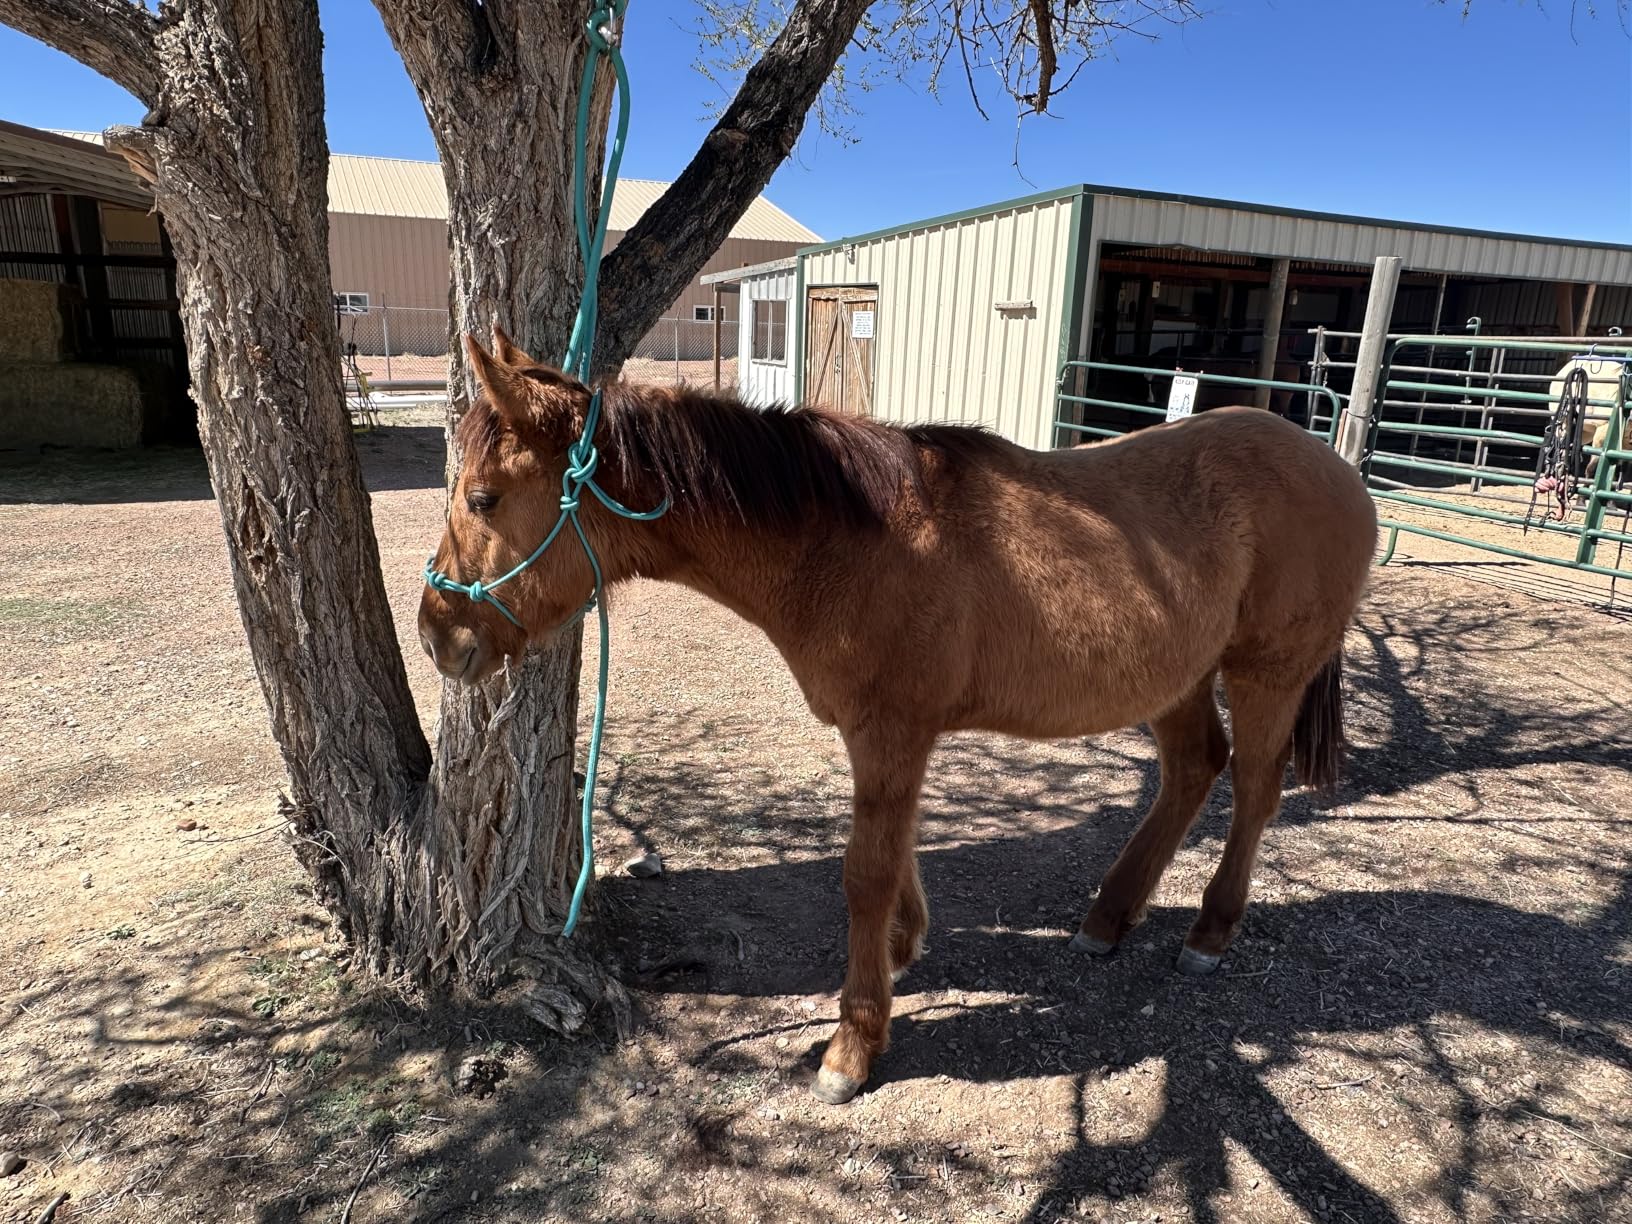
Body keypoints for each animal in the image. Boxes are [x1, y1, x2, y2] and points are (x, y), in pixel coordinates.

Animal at [419, 326, 1379, 1105]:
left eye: (483, 498)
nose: (437, 635)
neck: (851, 538)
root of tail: (1336, 466)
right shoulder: (888, 738)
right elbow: (900, 850)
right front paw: (905, 947)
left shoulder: (892, 733)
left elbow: (865, 873)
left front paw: (853, 1044)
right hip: (1176, 678)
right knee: (1191, 771)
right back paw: (1108, 918)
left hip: (1265, 673)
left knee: (1254, 789)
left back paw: (1211, 929)